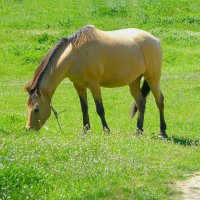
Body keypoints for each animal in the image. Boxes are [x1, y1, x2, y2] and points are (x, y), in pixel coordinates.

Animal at [25, 24, 168, 138]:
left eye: (36, 109)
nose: (28, 129)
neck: (74, 56)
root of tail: (156, 40)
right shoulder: (78, 85)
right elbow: (84, 108)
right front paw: (85, 130)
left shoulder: (94, 84)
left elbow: (100, 108)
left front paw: (106, 130)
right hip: (134, 81)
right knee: (141, 102)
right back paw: (138, 130)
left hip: (153, 78)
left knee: (159, 101)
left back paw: (162, 132)